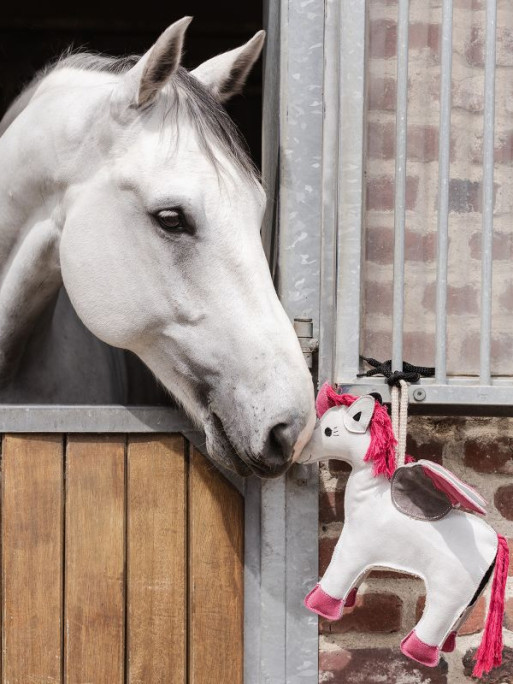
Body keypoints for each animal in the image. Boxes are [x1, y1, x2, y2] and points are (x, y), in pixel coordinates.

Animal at [298, 382, 506, 676]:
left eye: (329, 431)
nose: (301, 453)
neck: (371, 497)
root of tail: (496, 541)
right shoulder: (365, 557)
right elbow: (355, 580)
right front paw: (348, 602)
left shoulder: (353, 547)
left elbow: (336, 576)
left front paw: (320, 605)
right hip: (471, 598)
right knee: (454, 624)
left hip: (449, 589)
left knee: (437, 621)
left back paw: (415, 652)